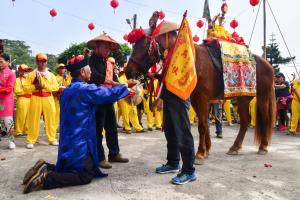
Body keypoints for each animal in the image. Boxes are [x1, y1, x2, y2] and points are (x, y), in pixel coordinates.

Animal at [125, 15, 276, 164]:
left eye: (144, 45)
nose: (128, 71)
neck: (193, 60)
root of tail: (267, 64)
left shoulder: (202, 98)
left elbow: (202, 124)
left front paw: (200, 153)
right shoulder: (194, 98)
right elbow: (204, 123)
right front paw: (207, 149)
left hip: (262, 97)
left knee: (265, 118)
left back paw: (263, 146)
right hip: (243, 97)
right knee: (245, 121)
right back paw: (235, 147)